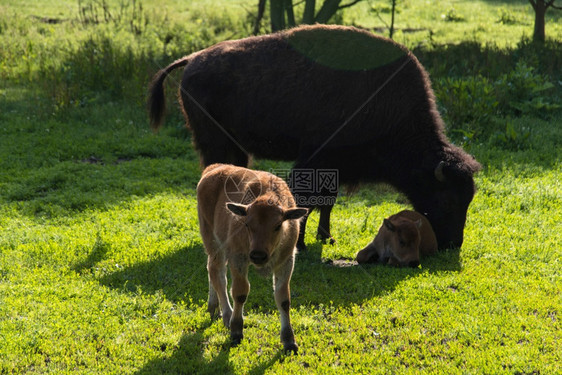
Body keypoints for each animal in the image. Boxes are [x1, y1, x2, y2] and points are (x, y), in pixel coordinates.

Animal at [147, 25, 480, 251]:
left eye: (469, 198)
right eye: (447, 197)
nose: (454, 243)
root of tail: (192, 59)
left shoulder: (335, 166)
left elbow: (326, 202)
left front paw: (325, 237)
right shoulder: (315, 160)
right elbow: (306, 200)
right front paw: (300, 243)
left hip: (235, 148)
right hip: (213, 143)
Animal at [196, 164, 306, 352]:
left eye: (278, 225)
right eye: (247, 224)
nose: (258, 255)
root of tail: (213, 168)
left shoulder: (286, 262)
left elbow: (283, 299)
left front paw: (289, 341)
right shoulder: (238, 258)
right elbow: (240, 293)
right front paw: (236, 331)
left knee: (213, 271)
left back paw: (213, 308)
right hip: (213, 240)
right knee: (218, 274)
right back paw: (226, 315)